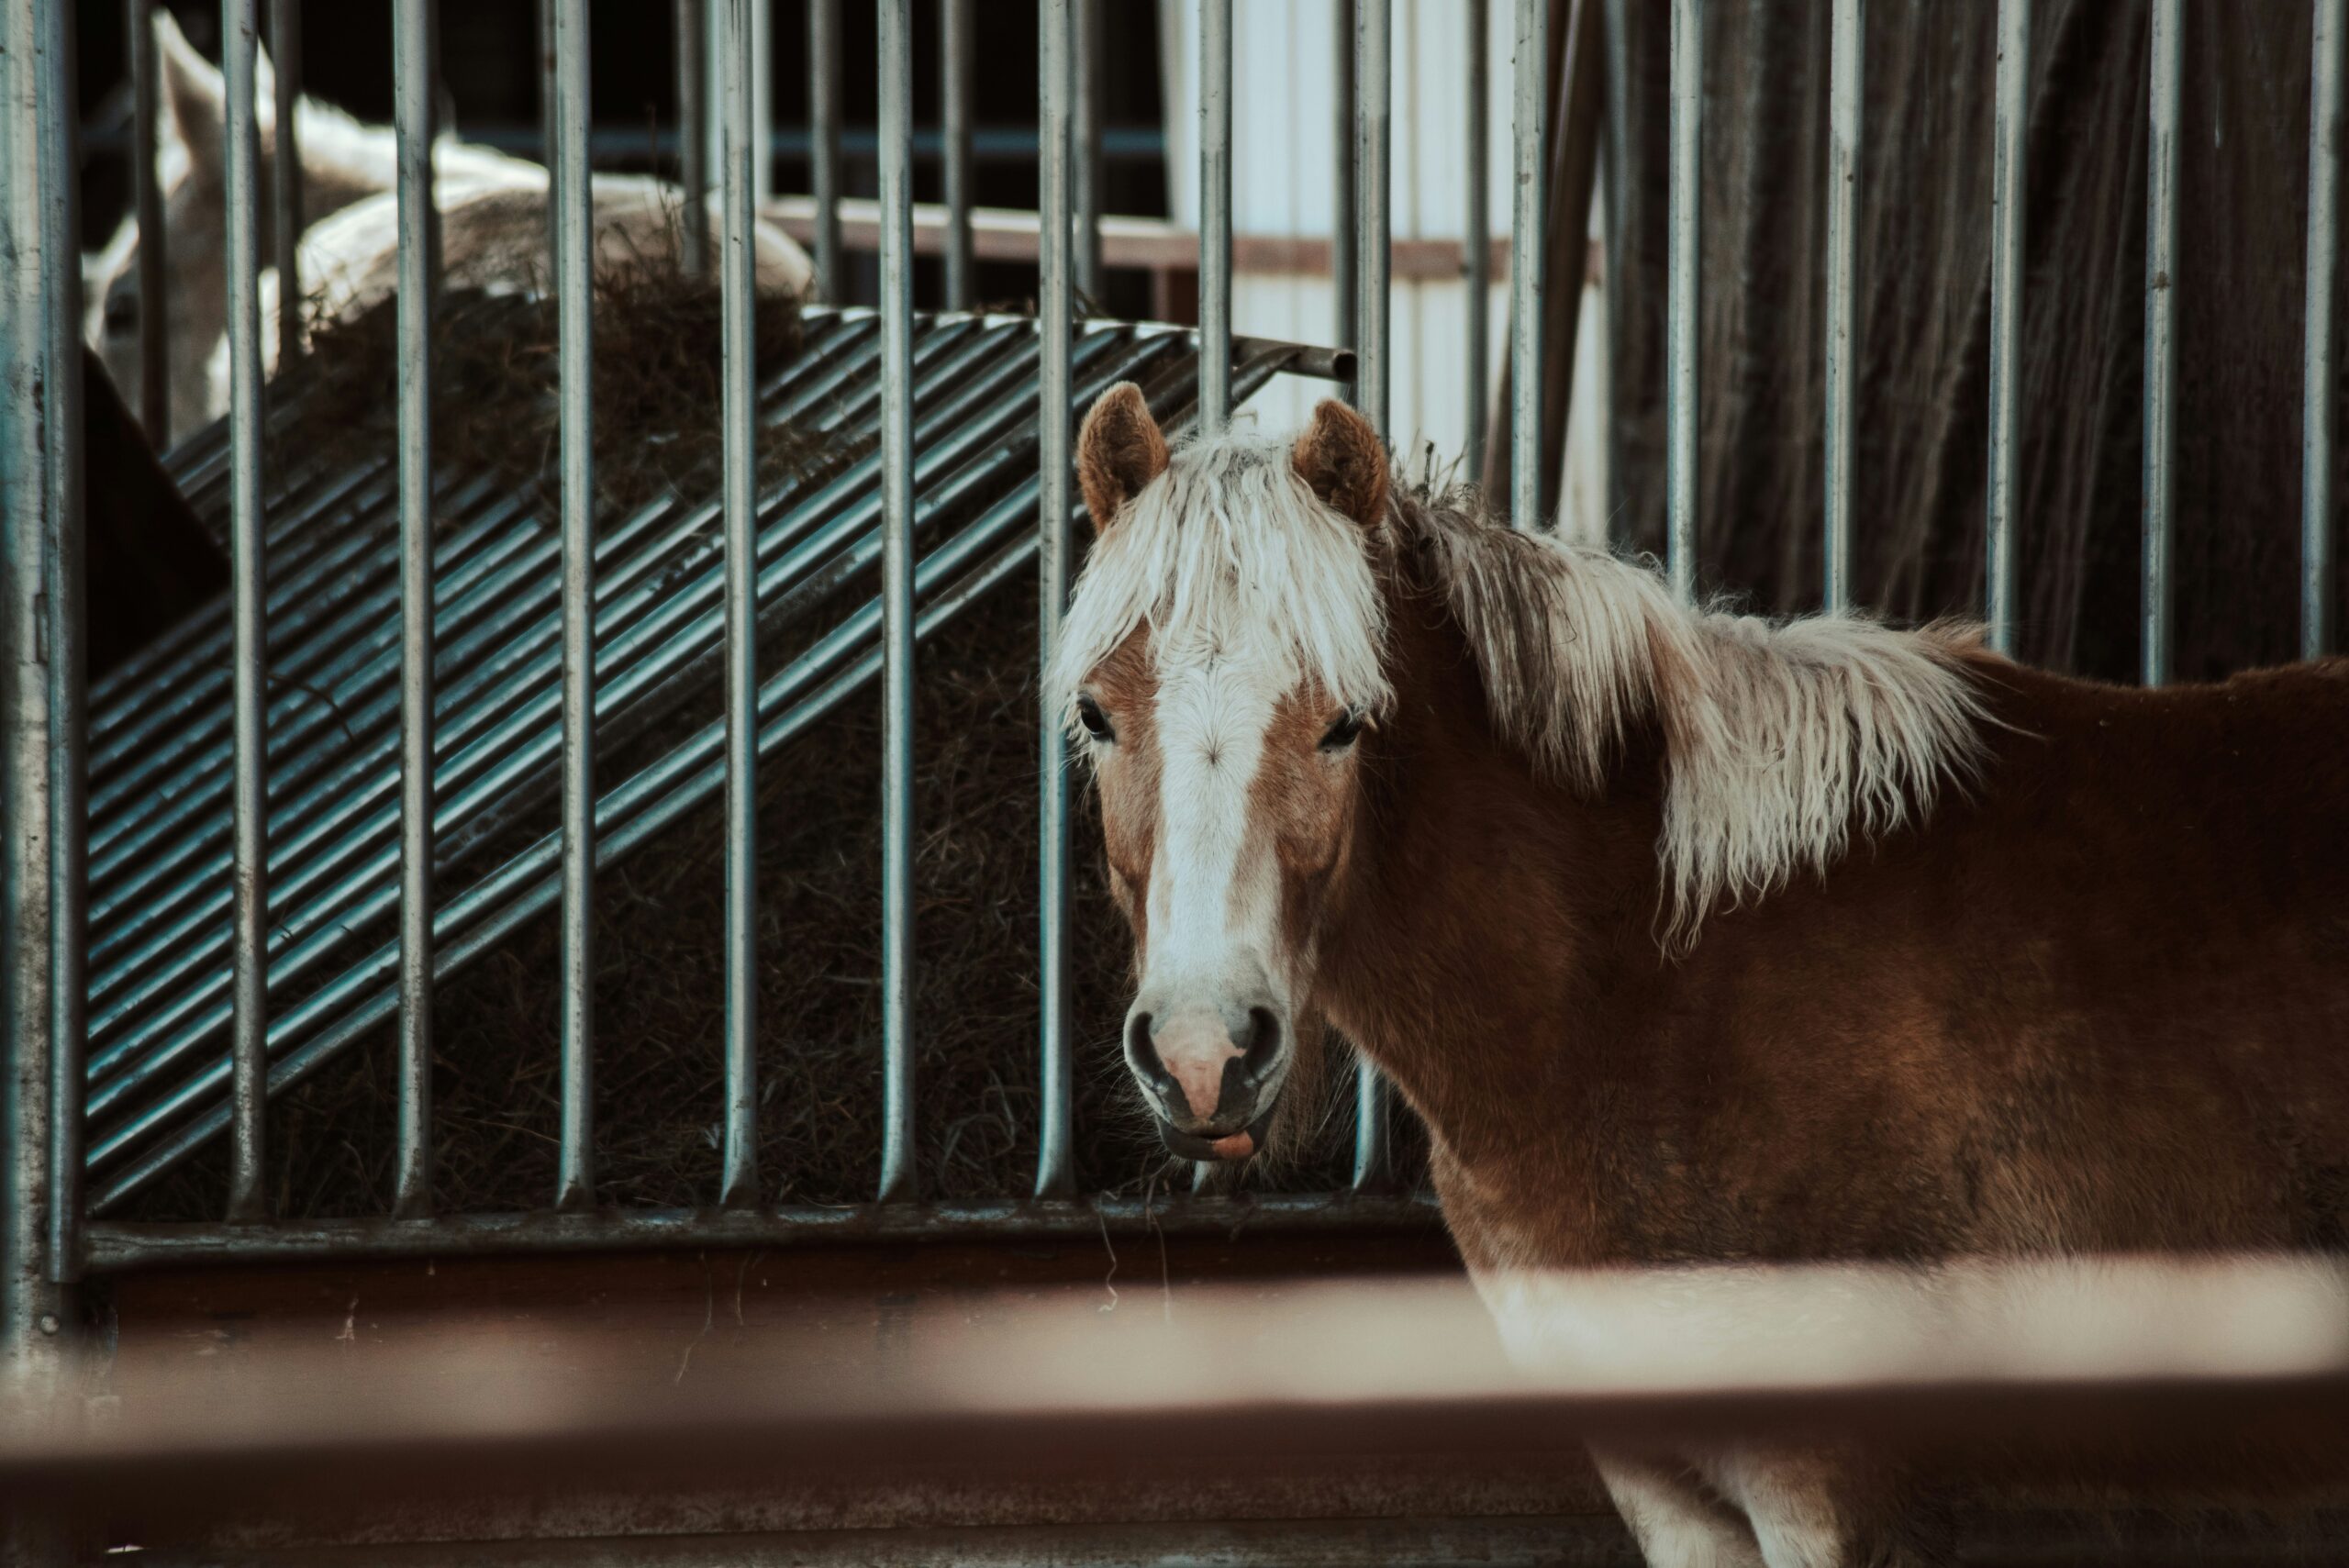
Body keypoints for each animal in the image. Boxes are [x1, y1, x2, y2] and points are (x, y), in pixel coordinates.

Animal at [1052, 383, 2349, 1567]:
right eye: (1096, 716)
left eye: (1344, 724)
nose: (1204, 1053)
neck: (1642, 994)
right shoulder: (1664, 1483)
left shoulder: (1814, 1485)